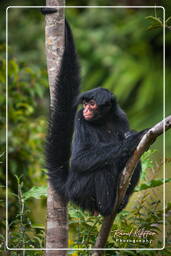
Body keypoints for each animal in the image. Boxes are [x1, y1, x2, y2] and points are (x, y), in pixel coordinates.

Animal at [42, 8, 146, 216]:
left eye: (92, 104)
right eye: (85, 104)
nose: (87, 110)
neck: (103, 119)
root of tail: (68, 186)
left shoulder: (121, 116)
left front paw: (130, 136)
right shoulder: (80, 119)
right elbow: (80, 159)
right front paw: (134, 138)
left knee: (133, 161)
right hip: (80, 189)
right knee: (101, 167)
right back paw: (106, 207)